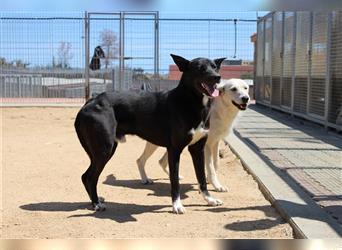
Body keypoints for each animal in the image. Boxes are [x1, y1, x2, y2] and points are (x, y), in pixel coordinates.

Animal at [74, 54, 224, 213]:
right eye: (200, 68)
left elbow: (201, 178)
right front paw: (177, 205)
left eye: (215, 67)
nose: (217, 77)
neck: (190, 101)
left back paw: (95, 201)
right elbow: (175, 181)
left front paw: (209, 199)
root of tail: (89, 102)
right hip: (104, 149)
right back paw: (96, 203)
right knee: (88, 176)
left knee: (88, 177)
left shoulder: (197, 149)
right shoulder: (174, 150)